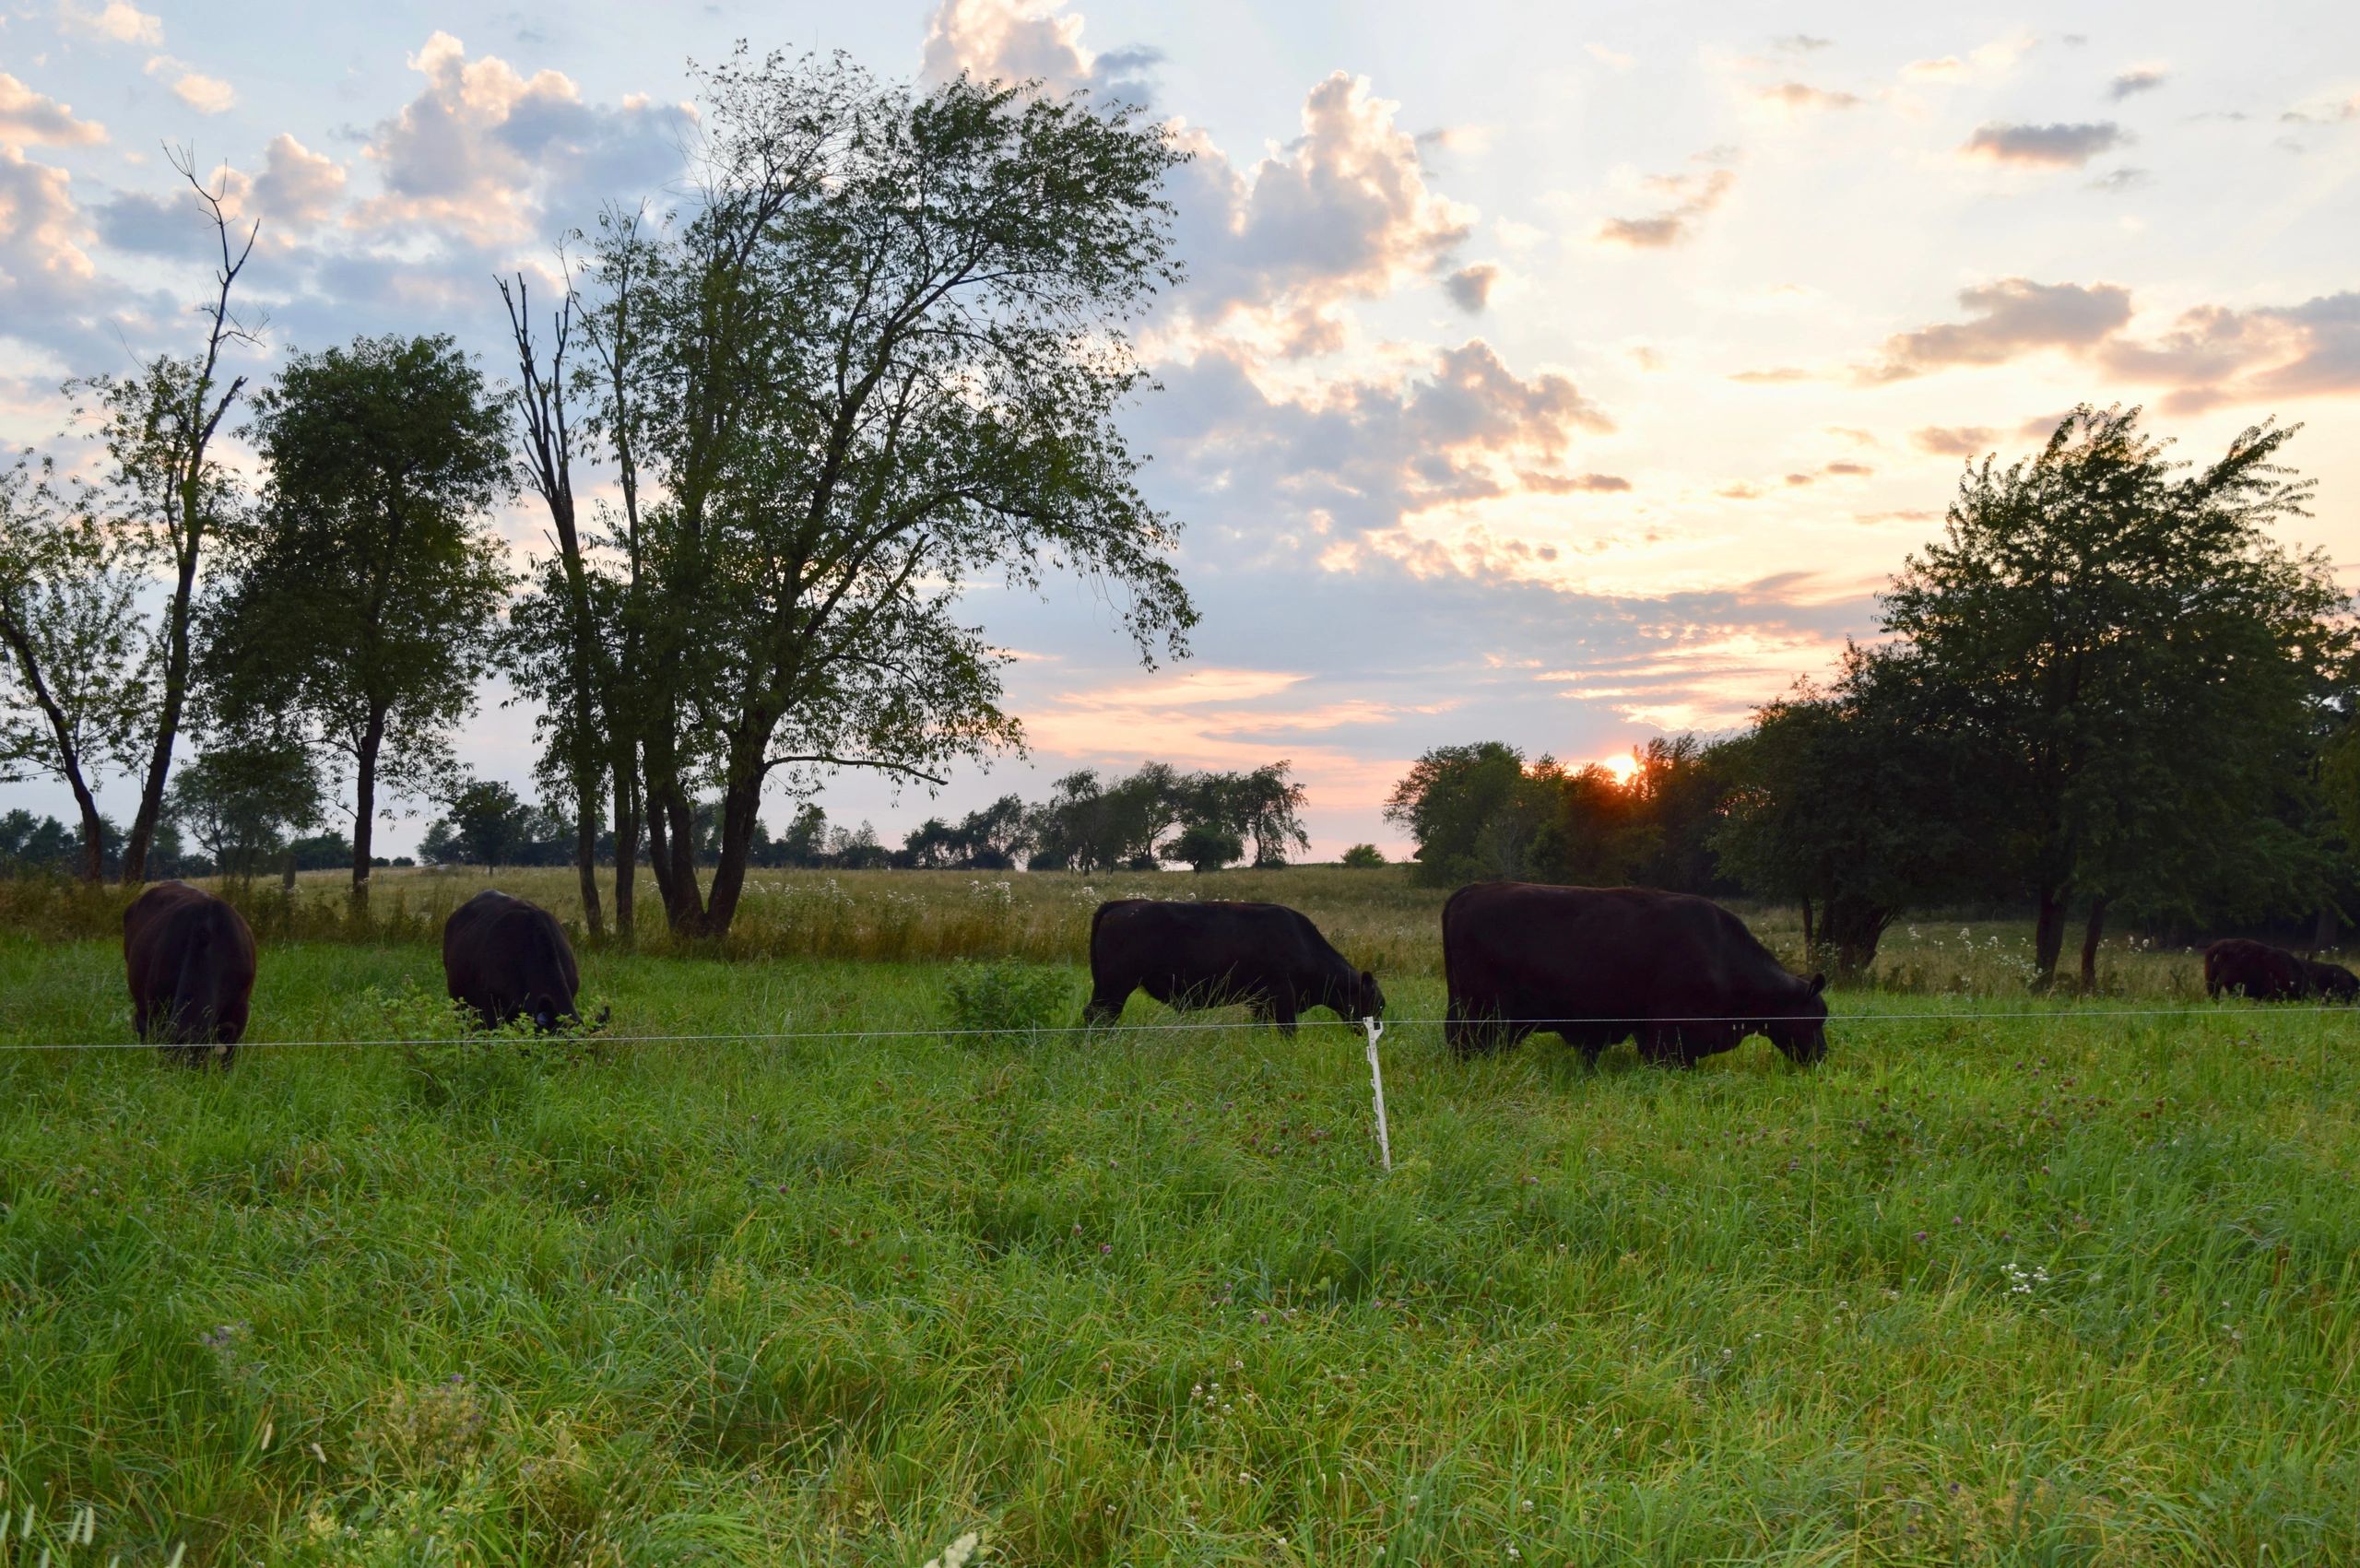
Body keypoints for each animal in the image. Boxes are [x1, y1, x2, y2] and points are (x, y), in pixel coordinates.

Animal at [1080, 902, 1387, 1034]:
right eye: (1377, 1003)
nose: (1375, 1031)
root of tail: (1121, 905)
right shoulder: (1282, 997)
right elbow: (1288, 1030)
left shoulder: (1260, 1003)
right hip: (1115, 988)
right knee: (1099, 1016)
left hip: (1106, 988)